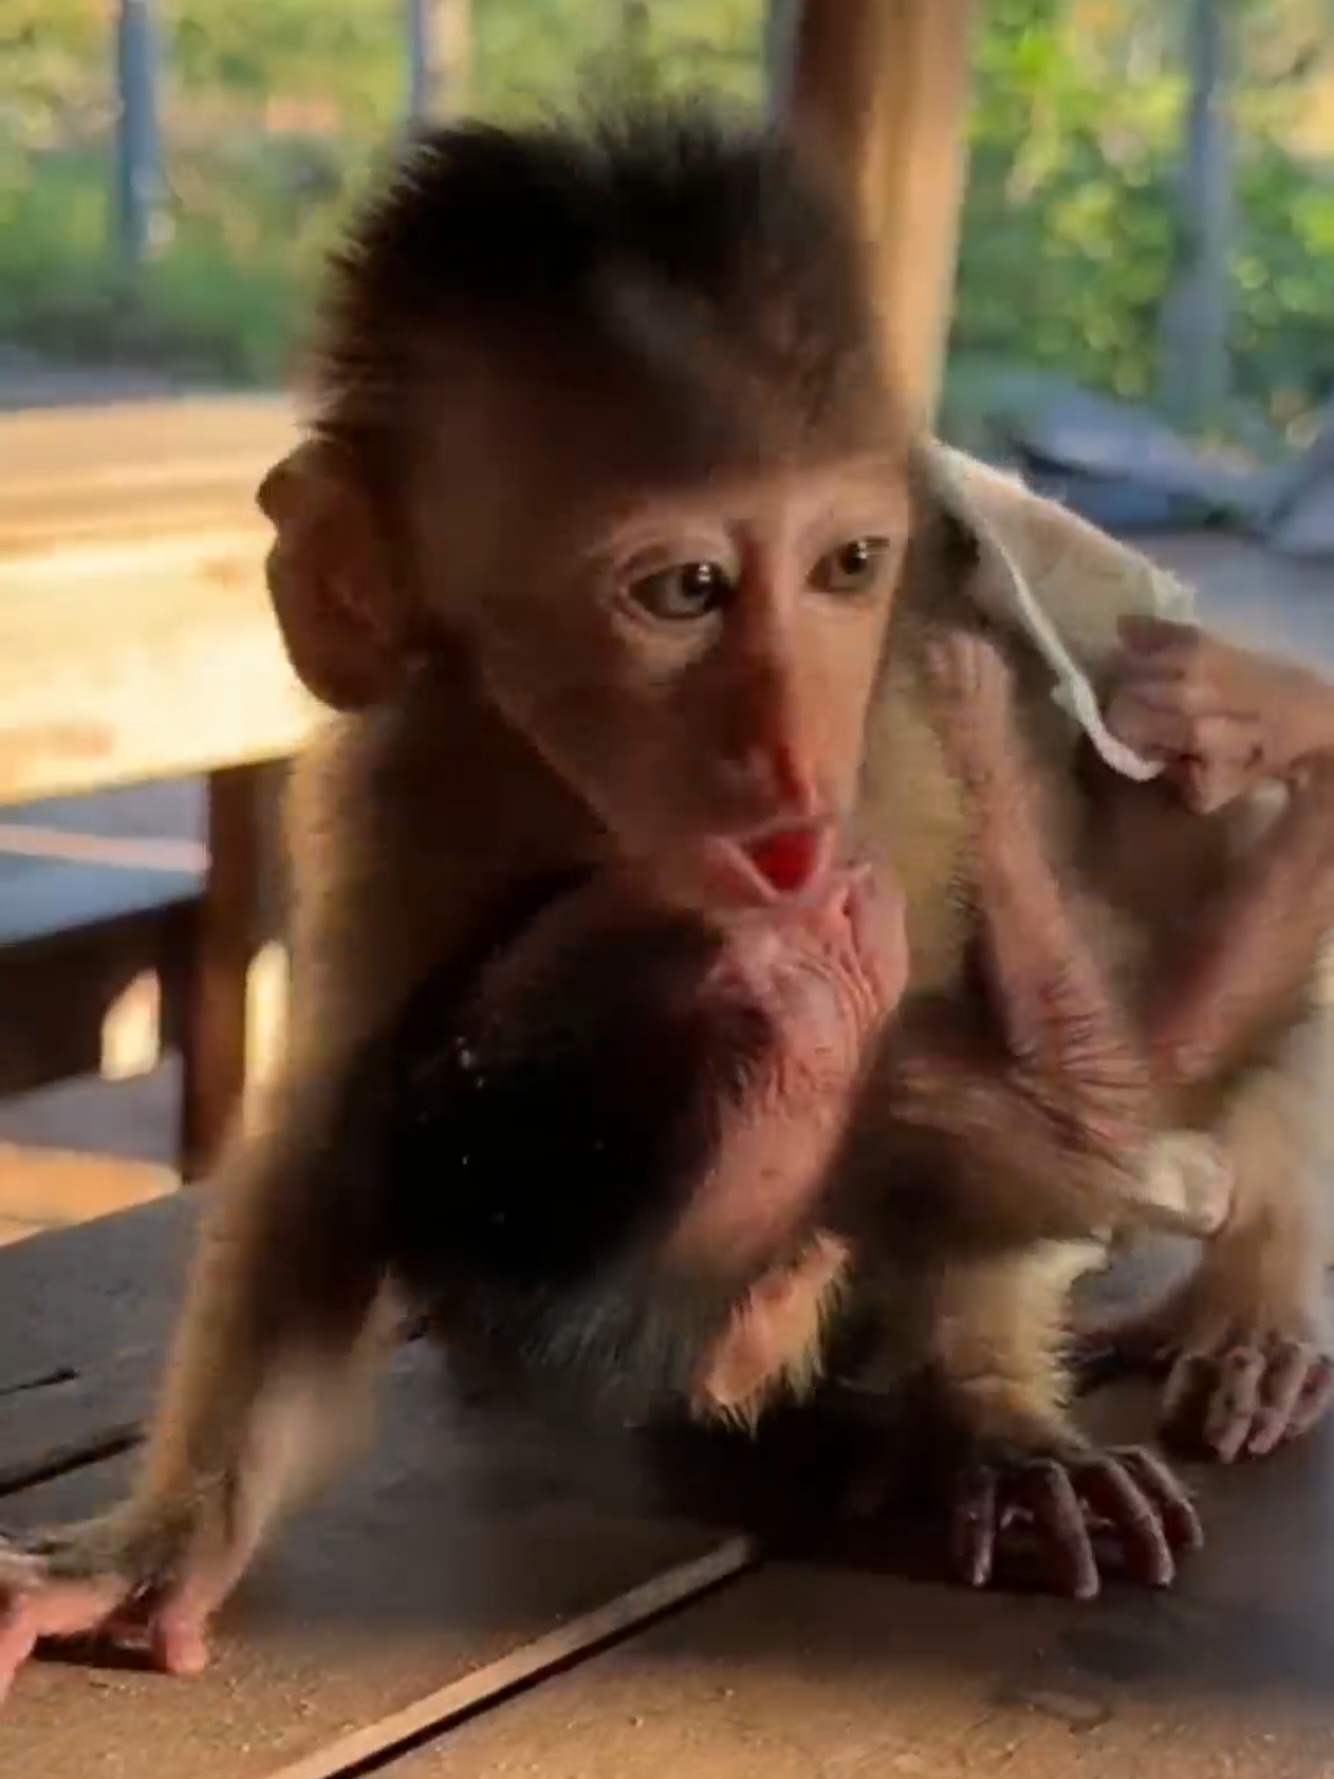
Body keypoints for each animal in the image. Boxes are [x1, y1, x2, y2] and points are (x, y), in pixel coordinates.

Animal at [0, 98, 1331, 1692]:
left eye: (844, 564)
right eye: (684, 590)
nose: (787, 744)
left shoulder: (888, 771)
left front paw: (992, 1413)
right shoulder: (410, 783)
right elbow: (334, 1135)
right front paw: (160, 1549)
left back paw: (1249, 1288)